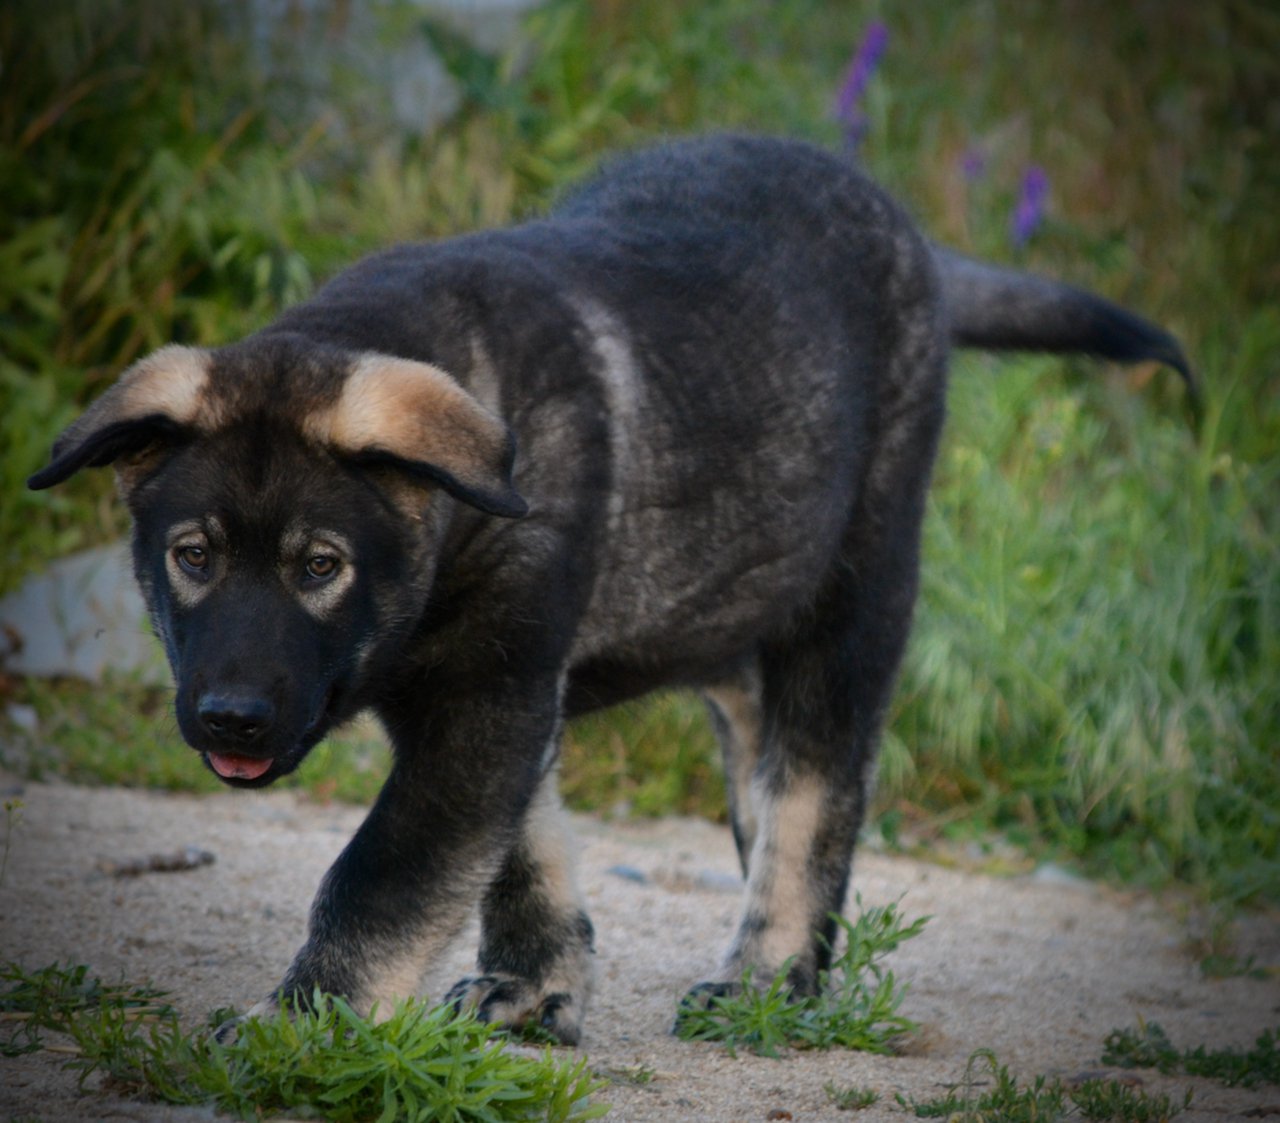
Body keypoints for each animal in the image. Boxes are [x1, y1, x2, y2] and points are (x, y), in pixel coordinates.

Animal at [27, 138, 1187, 1044]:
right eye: (193, 556)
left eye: (321, 567)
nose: (230, 717)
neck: (457, 520)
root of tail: (902, 229)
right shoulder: (491, 693)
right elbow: (519, 847)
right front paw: (534, 989)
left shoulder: (487, 692)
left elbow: (382, 872)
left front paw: (303, 1022)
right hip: (728, 599)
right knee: (758, 749)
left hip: (858, 580)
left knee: (816, 783)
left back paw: (767, 976)